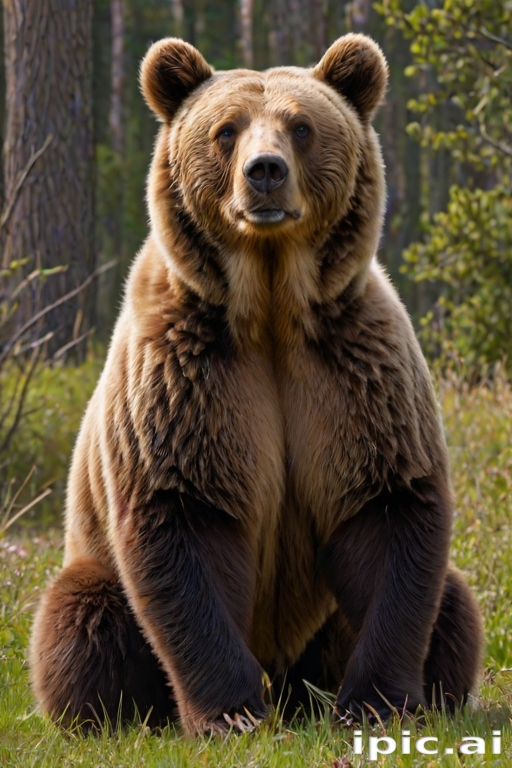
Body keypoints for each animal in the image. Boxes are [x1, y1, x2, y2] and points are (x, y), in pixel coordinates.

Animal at [29, 33, 483, 735]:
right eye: (225, 130)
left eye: (301, 127)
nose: (264, 171)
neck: (271, 302)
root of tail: (288, 671)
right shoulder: (185, 377)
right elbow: (183, 521)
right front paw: (231, 713)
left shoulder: (355, 370)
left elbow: (388, 509)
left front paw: (376, 703)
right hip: (92, 564)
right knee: (81, 621)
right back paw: (120, 713)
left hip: (328, 626)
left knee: (453, 604)